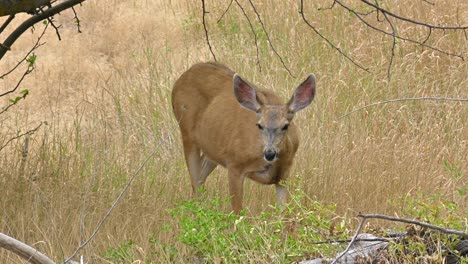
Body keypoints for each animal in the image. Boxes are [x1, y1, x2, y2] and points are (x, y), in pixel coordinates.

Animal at [170, 63, 316, 213]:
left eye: (285, 126)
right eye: (259, 125)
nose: (269, 153)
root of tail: (181, 79)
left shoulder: (284, 175)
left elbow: (283, 213)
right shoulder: (235, 163)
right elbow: (238, 212)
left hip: (212, 148)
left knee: (200, 178)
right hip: (186, 131)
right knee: (195, 182)